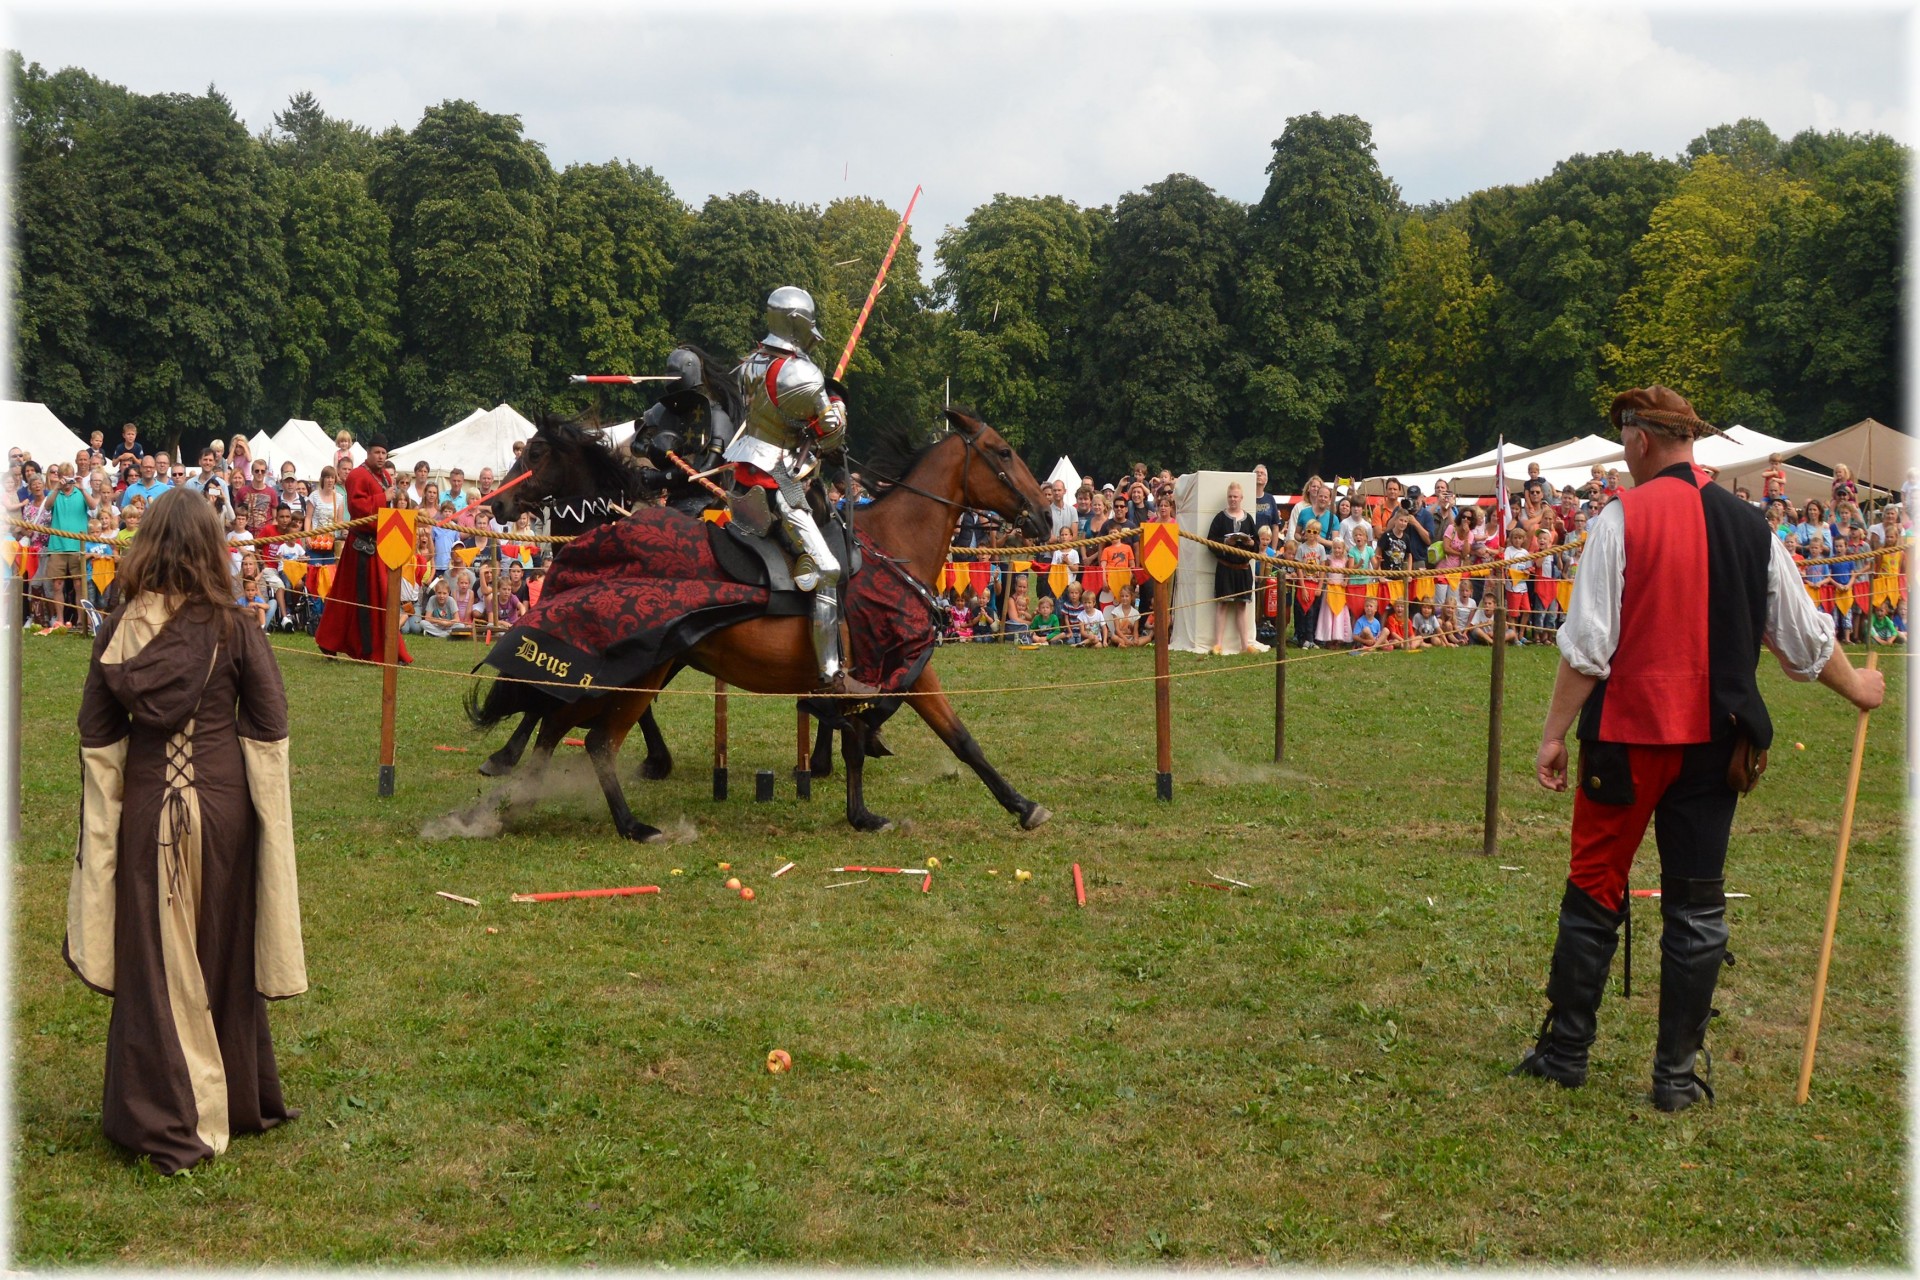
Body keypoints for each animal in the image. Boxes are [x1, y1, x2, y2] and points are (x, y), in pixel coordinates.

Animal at [474, 410, 1059, 844]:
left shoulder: (878, 674)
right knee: (587, 735)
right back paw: (627, 823)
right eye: (1003, 452)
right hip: (641, 667)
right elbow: (955, 739)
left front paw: (863, 812)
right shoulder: (902, 667)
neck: (896, 546)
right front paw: (1022, 805)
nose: (1044, 516)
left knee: (562, 723)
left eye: (535, 454)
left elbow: (933, 737)